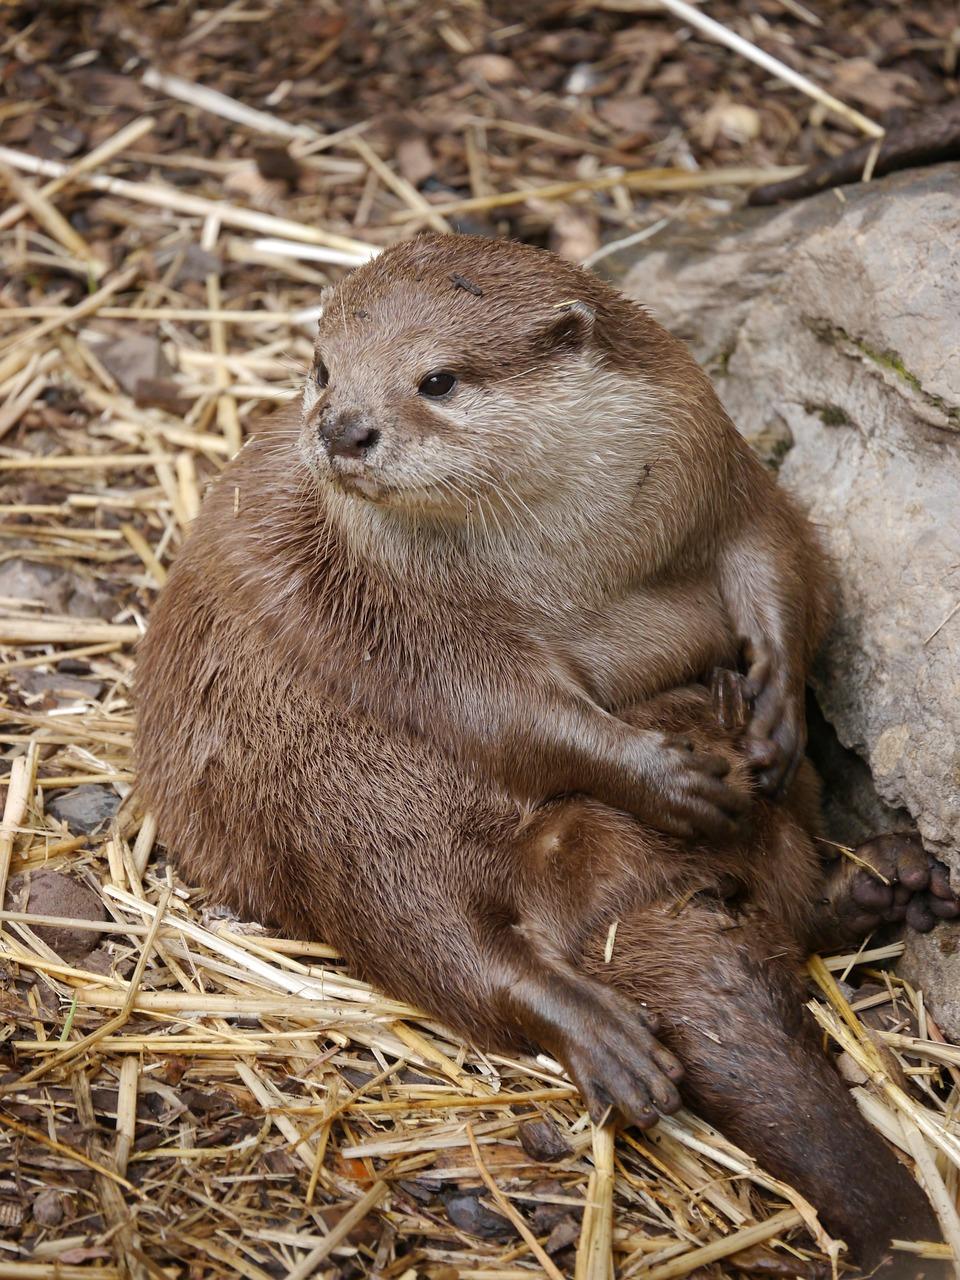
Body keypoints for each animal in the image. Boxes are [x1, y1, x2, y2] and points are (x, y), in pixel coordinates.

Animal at [135, 238, 957, 1269]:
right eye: (323, 369)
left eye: (437, 379)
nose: (345, 428)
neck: (569, 569)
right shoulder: (398, 618)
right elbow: (504, 710)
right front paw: (664, 776)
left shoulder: (717, 471)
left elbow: (781, 556)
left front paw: (771, 699)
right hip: (343, 821)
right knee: (441, 944)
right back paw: (610, 1040)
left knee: (786, 906)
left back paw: (886, 884)